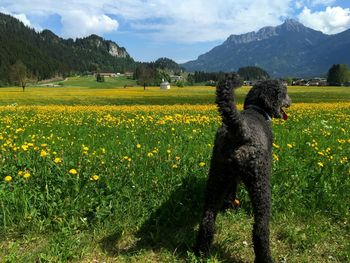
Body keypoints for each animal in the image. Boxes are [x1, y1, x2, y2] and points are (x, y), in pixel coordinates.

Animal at [196, 75, 292, 263]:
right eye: (284, 93)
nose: (290, 102)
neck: (258, 111)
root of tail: (239, 130)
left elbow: (230, 193)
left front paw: (230, 206)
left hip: (217, 176)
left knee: (207, 219)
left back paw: (202, 251)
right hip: (260, 183)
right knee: (260, 228)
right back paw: (265, 258)